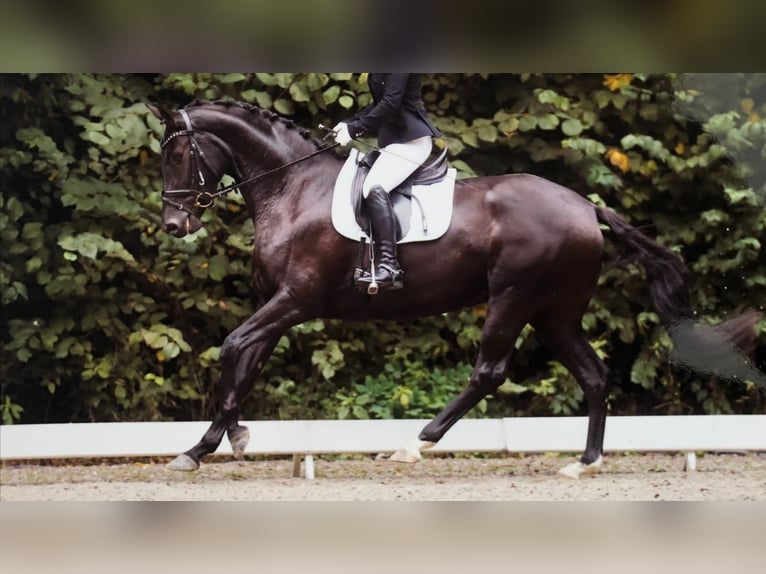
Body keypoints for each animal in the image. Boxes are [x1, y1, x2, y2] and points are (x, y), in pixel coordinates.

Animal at [147, 99, 760, 478]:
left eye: (178, 153)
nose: (175, 225)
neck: (292, 189)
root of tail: (585, 206)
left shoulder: (294, 302)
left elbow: (231, 348)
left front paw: (217, 442)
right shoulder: (275, 306)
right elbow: (243, 364)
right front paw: (213, 442)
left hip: (513, 298)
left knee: (489, 371)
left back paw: (411, 446)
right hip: (554, 312)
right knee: (592, 374)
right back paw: (584, 462)